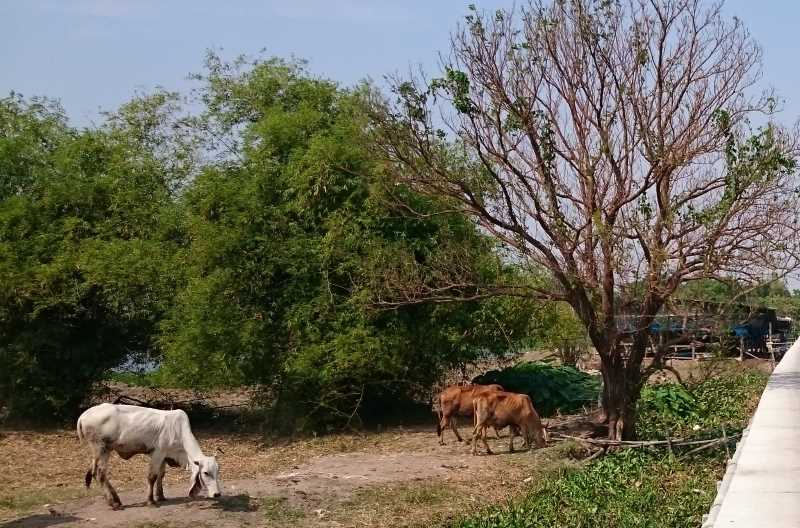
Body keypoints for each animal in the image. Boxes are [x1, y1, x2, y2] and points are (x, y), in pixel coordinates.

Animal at [77, 404, 220, 508]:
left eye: (217, 472)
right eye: (206, 473)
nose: (217, 494)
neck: (178, 431)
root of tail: (83, 415)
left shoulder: (164, 456)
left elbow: (161, 476)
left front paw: (161, 496)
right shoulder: (157, 453)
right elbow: (152, 477)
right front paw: (151, 500)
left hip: (101, 452)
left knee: (97, 474)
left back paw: (115, 498)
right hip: (102, 449)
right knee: (100, 474)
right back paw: (113, 503)